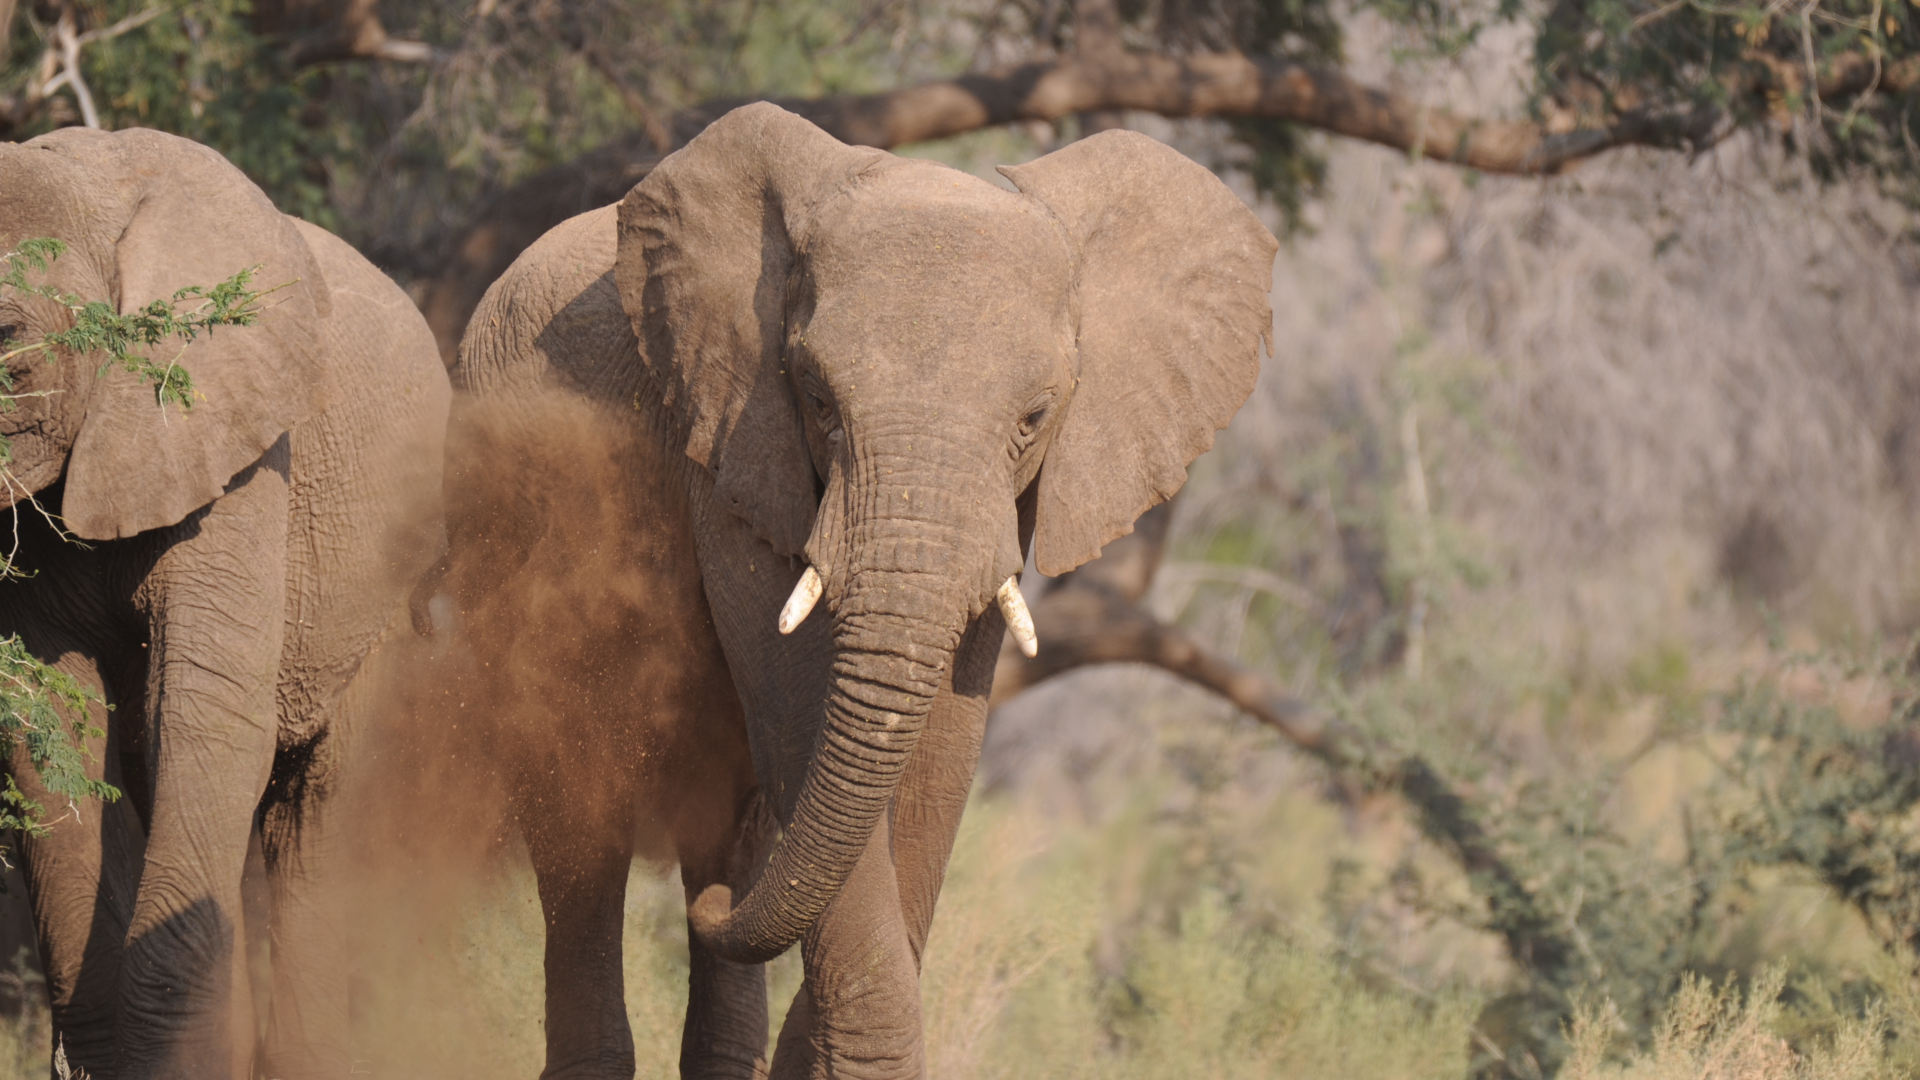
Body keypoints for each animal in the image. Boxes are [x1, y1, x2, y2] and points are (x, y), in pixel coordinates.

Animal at [0, 127, 447, 1076]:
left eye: (8, 339)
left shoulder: (237, 443)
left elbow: (203, 714)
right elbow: (50, 737)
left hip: (386, 596)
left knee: (313, 820)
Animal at [449, 102, 1282, 1076]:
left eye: (1036, 417)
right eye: (816, 397)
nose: (719, 910)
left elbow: (944, 743)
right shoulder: (733, 443)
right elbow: (795, 699)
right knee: (579, 807)